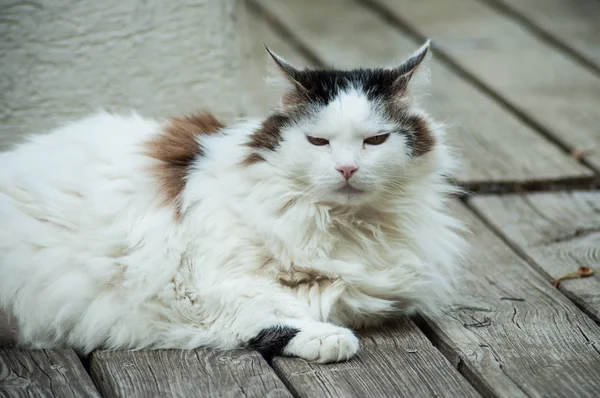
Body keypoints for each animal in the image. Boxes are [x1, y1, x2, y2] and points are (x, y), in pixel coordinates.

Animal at [0, 41, 466, 364]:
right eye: (318, 141)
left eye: (375, 140)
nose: (347, 169)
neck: (340, 226)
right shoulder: (199, 284)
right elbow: (270, 308)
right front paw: (326, 337)